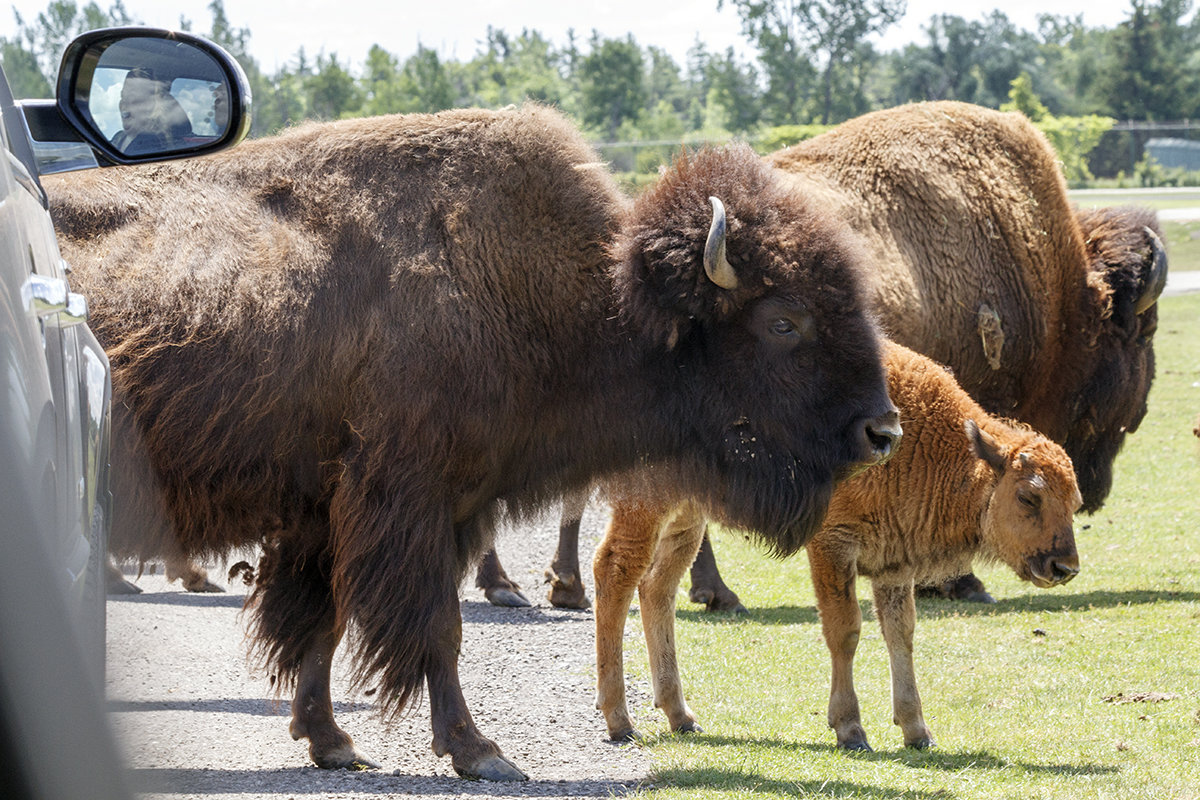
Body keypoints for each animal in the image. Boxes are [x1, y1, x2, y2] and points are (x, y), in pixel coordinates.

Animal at [44, 104, 902, 782]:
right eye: (784, 320)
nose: (881, 430)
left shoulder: (358, 514)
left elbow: (322, 622)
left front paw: (332, 741)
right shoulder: (410, 506)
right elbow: (436, 631)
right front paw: (481, 752)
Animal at [590, 340, 1080, 748]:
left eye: (1074, 503)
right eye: (1029, 496)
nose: (1065, 567)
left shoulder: (895, 563)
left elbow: (901, 633)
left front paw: (917, 730)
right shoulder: (833, 546)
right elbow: (845, 630)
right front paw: (850, 729)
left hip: (687, 518)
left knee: (657, 588)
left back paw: (681, 716)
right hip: (646, 505)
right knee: (615, 572)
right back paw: (620, 722)